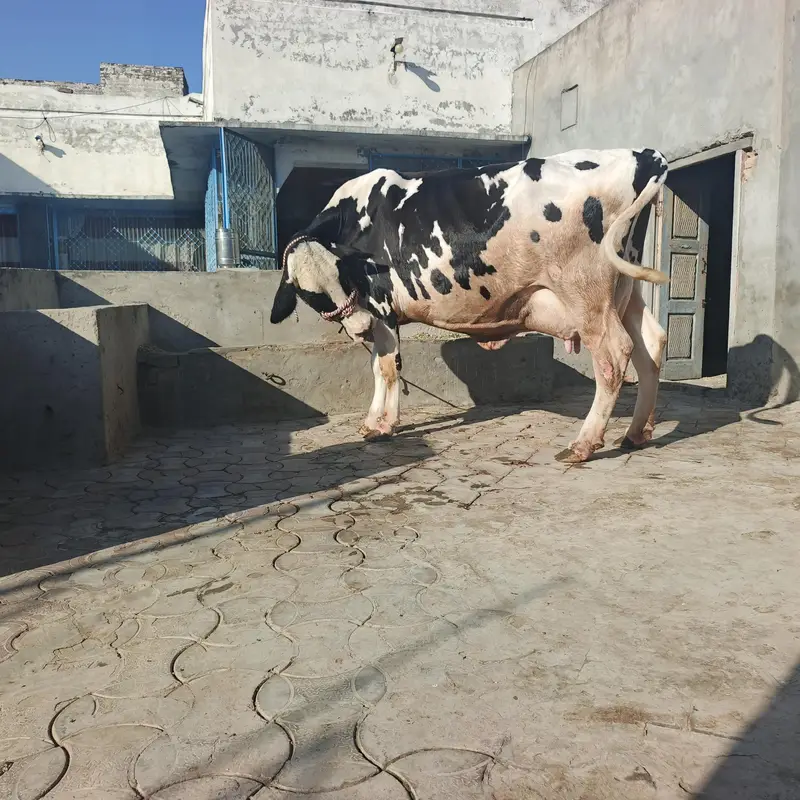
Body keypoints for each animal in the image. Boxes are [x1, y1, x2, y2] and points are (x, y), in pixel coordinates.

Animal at [270, 148, 670, 463]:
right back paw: (636, 432)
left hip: (587, 292)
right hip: (626, 286)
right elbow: (378, 367)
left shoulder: (382, 308)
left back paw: (583, 444)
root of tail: (639, 154)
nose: (360, 329)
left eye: (341, 274)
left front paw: (383, 425)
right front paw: (372, 421)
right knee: (651, 343)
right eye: (309, 293)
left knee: (614, 355)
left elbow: (386, 368)